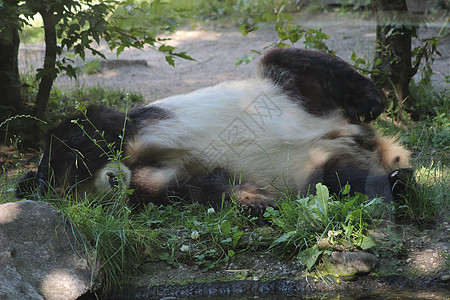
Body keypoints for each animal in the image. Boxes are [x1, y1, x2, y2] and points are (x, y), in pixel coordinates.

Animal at [16, 47, 412, 216]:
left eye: (75, 174)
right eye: (82, 194)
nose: (112, 182)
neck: (132, 159)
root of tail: (351, 134)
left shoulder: (132, 123)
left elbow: (92, 125)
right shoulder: (147, 183)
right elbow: (197, 187)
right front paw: (256, 200)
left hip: (287, 92)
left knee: (289, 60)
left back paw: (371, 102)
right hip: (315, 164)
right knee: (338, 178)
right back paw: (393, 177)